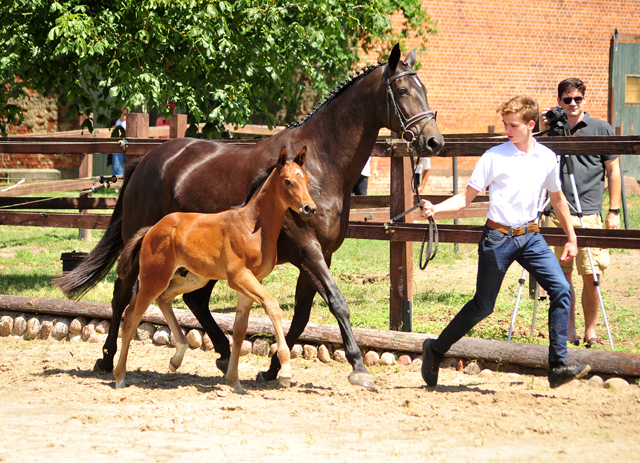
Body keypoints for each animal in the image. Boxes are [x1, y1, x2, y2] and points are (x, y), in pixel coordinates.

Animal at [116, 147, 316, 394]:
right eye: (288, 181)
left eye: (306, 179)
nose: (309, 208)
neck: (252, 227)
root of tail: (152, 229)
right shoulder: (238, 277)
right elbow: (272, 306)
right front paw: (286, 371)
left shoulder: (252, 281)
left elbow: (239, 331)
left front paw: (235, 381)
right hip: (155, 277)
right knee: (132, 315)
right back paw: (120, 377)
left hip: (194, 278)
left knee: (163, 299)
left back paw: (176, 358)